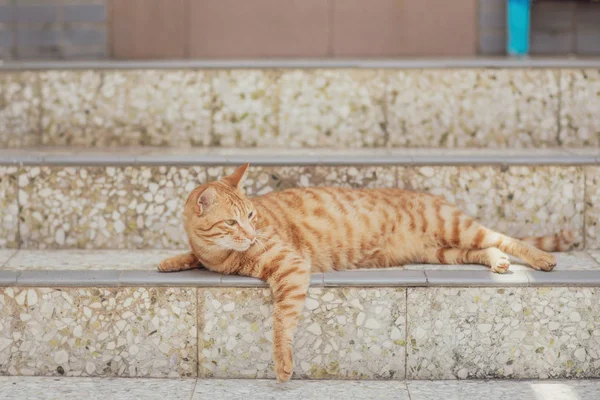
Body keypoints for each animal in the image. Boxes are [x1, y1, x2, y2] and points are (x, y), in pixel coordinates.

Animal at [157, 164, 576, 382]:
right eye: (232, 221)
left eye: (251, 215)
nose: (251, 233)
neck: (223, 257)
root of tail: (431, 196)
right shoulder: (212, 255)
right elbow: (191, 256)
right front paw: (171, 261)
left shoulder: (290, 266)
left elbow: (281, 322)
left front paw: (282, 363)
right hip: (444, 250)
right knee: (486, 249)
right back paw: (498, 263)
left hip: (457, 229)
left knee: (505, 238)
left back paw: (540, 258)